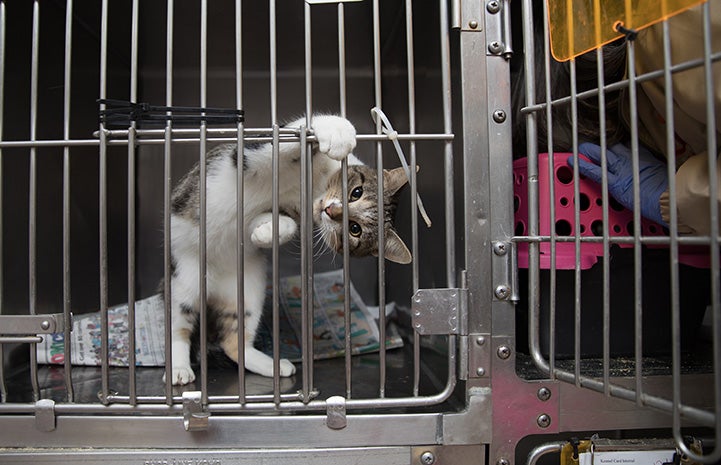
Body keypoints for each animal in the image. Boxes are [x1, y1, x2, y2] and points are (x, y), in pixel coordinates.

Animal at [165, 115, 410, 384]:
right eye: (356, 193)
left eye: (354, 229)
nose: (331, 210)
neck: (313, 187)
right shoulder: (251, 154)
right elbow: (289, 136)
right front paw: (336, 131)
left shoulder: (289, 211)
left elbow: (270, 222)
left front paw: (265, 233)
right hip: (183, 279)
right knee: (176, 327)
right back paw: (178, 369)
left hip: (248, 290)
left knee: (233, 341)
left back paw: (271, 365)